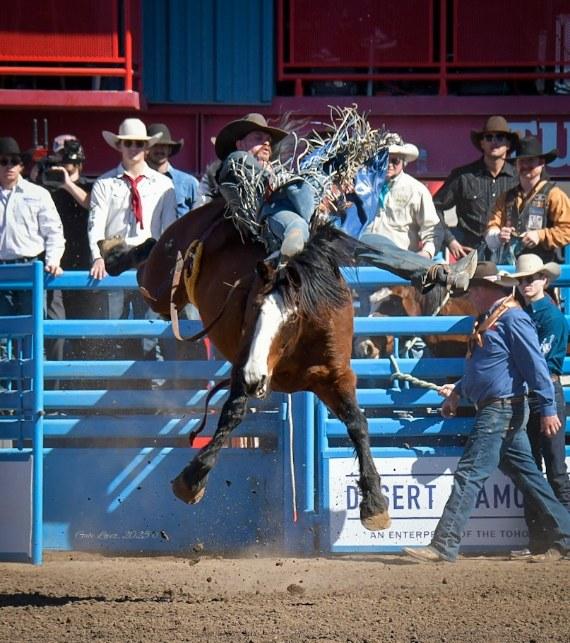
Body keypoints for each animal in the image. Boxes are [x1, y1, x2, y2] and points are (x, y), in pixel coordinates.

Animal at [111, 199, 390, 532]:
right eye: (253, 307)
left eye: (292, 317)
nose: (256, 378)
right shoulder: (243, 365)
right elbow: (232, 414)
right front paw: (192, 480)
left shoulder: (336, 376)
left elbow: (357, 423)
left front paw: (374, 502)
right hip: (159, 284)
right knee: (146, 263)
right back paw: (113, 252)